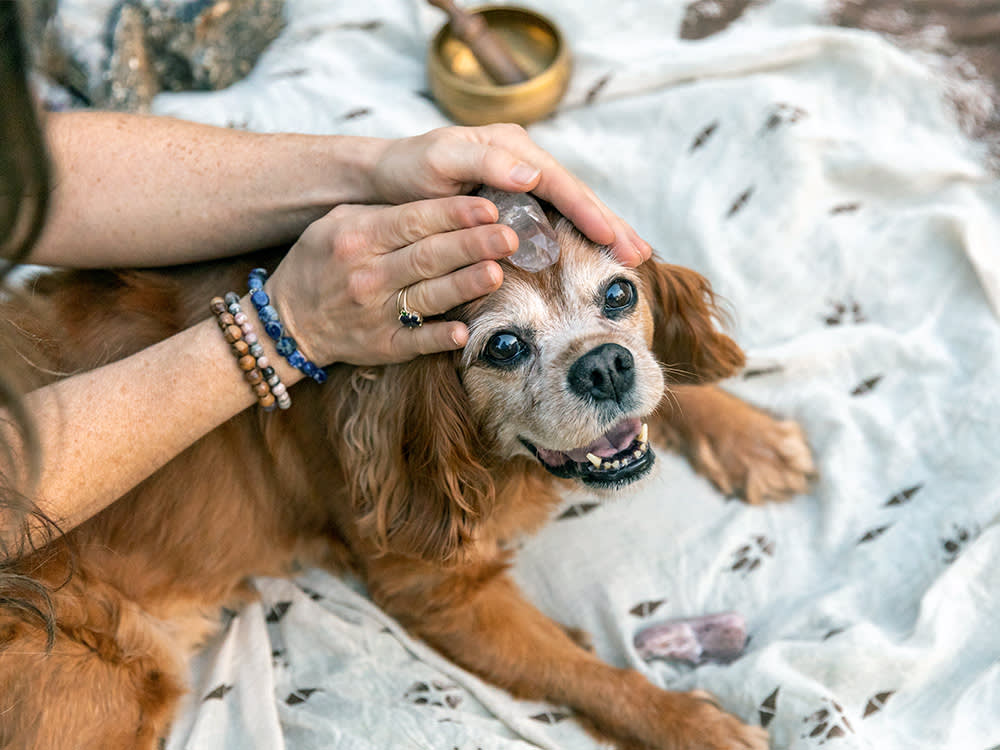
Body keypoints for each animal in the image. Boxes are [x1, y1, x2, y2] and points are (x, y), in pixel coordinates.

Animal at [0, 213, 812, 750]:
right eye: (504, 346)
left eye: (619, 295)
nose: (604, 366)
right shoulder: (435, 587)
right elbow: (589, 675)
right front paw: (688, 723)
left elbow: (668, 383)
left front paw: (750, 436)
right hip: (110, 676)